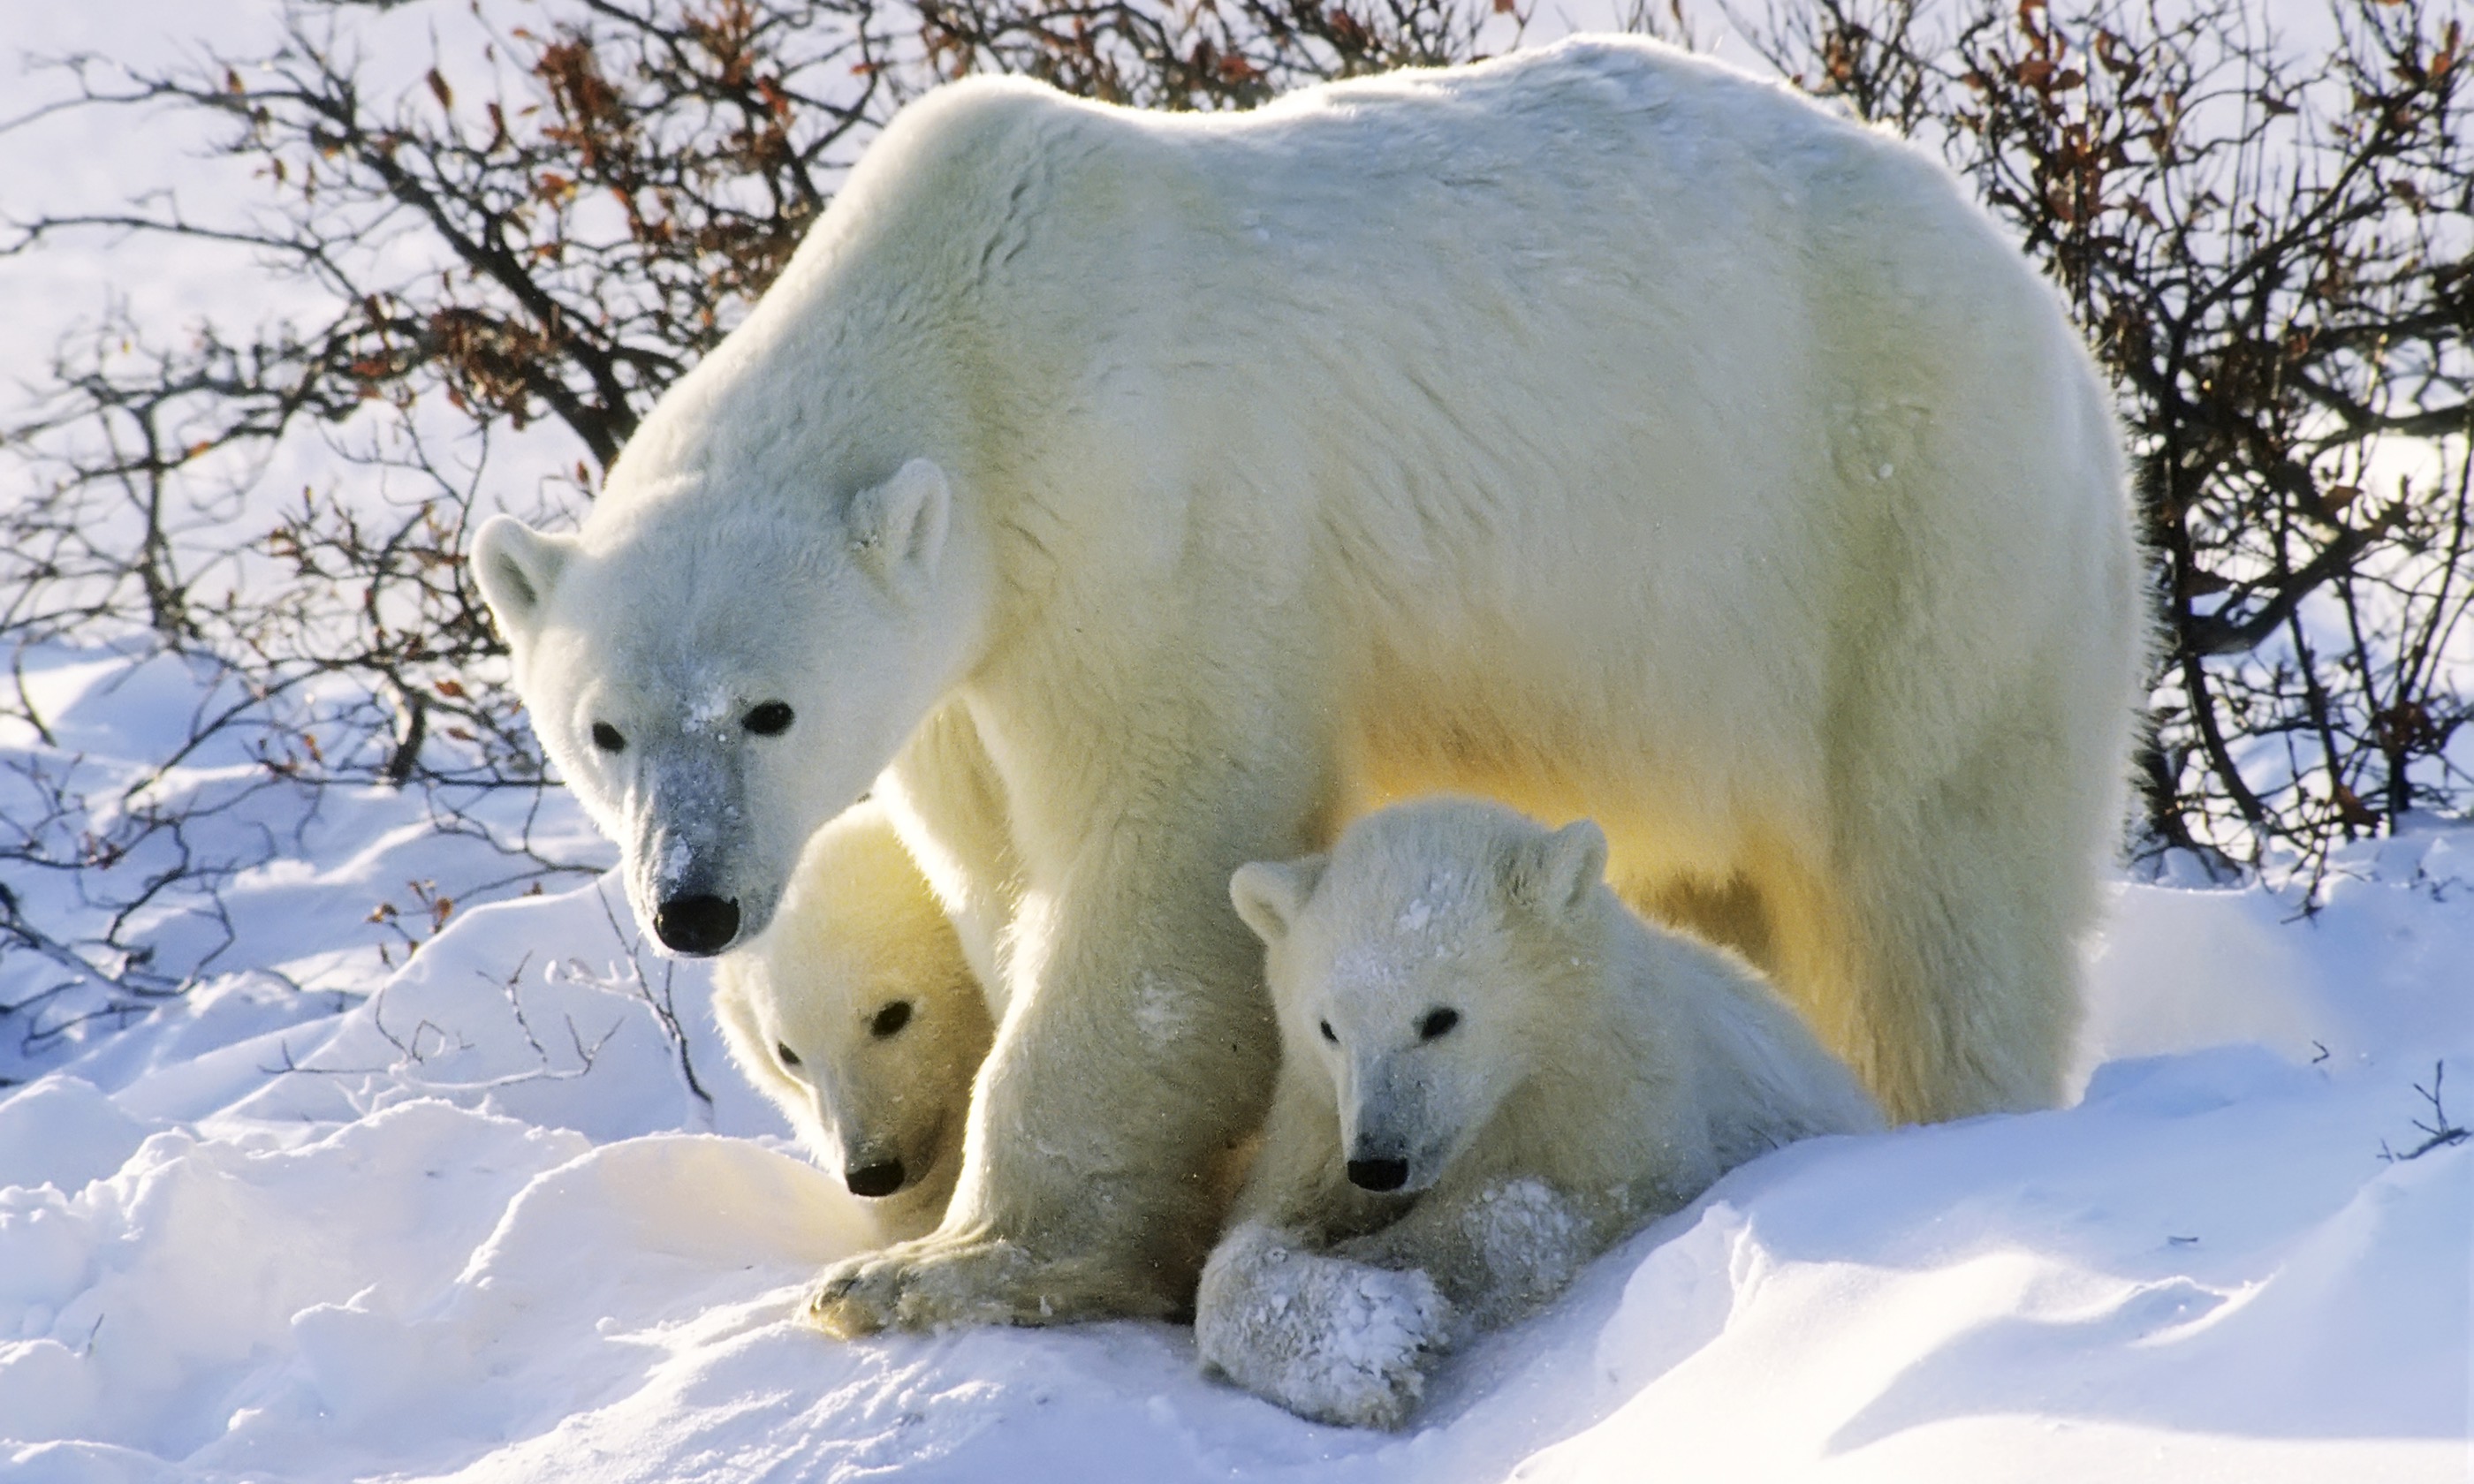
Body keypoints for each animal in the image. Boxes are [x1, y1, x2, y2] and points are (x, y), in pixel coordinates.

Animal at [1197, 801, 1870, 1424]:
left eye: (1439, 1018)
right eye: (1329, 1029)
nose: (1378, 1163)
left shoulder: (1622, 1109)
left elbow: (1536, 1213)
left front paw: (1389, 1286)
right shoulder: (1317, 1123)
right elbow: (1253, 1233)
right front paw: (1362, 1338)